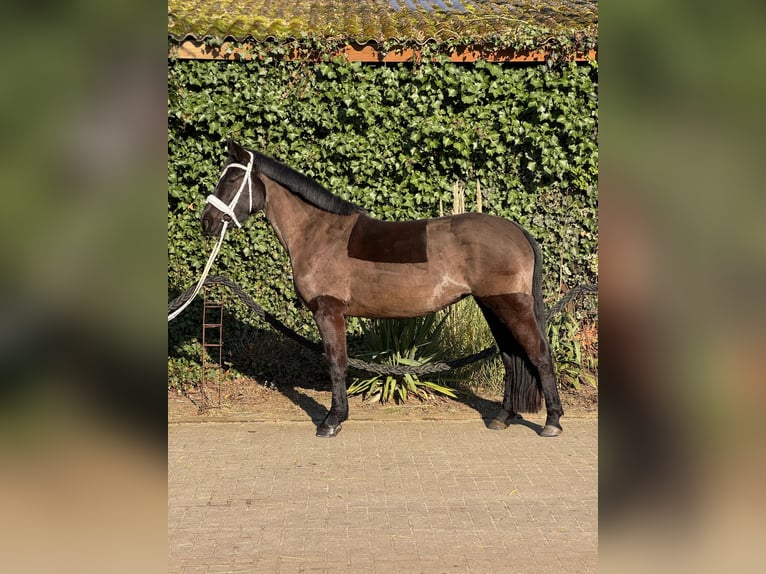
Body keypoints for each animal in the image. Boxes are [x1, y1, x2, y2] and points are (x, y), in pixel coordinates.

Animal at [201, 142, 568, 438]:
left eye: (230, 180)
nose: (207, 222)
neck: (317, 232)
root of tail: (517, 231)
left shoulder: (329, 310)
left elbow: (336, 363)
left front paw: (332, 421)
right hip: (492, 305)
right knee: (511, 357)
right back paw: (503, 417)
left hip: (510, 305)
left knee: (539, 353)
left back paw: (552, 422)